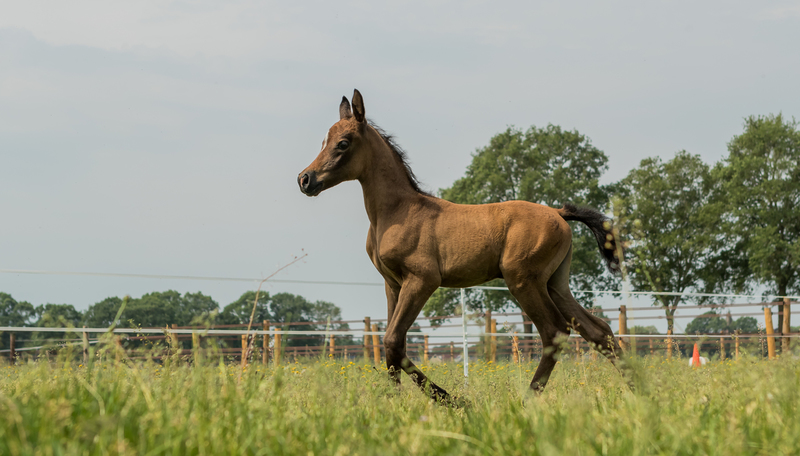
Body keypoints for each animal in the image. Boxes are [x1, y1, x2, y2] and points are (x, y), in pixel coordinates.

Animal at [298, 89, 625, 403]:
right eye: (324, 141)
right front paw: (395, 404)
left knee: (555, 331)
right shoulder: (392, 284)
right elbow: (391, 345)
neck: (397, 212)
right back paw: (636, 390)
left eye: (343, 143)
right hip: (554, 282)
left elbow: (393, 341)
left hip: (523, 280)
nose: (305, 179)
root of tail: (558, 213)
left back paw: (527, 400)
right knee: (598, 331)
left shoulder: (422, 280)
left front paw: (451, 400)